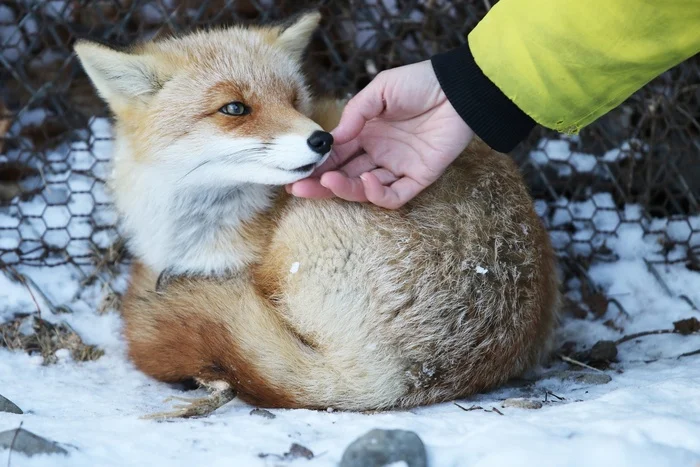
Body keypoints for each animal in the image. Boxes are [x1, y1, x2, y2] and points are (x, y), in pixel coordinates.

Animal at [74, 10, 560, 414]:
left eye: (293, 99)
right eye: (234, 108)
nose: (323, 139)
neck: (193, 227)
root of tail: (398, 380)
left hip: (294, 249)